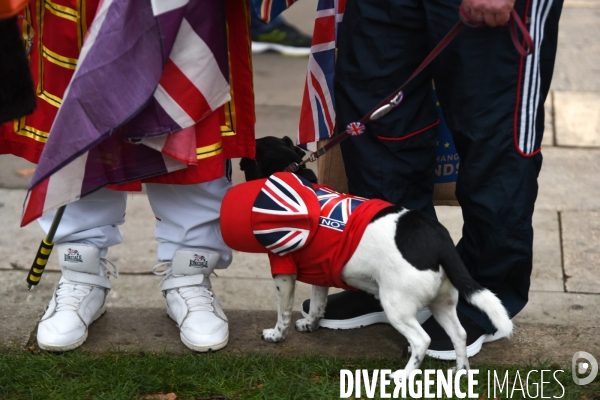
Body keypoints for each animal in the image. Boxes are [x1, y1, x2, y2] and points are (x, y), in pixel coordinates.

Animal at [220, 137, 510, 376]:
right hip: (442, 302)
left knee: (421, 341)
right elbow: (317, 305)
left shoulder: (284, 273)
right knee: (459, 335)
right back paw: (460, 372)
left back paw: (404, 376)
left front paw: (276, 335)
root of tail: (440, 242)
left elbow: (283, 313)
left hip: (397, 306)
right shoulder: (321, 272)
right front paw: (311, 325)